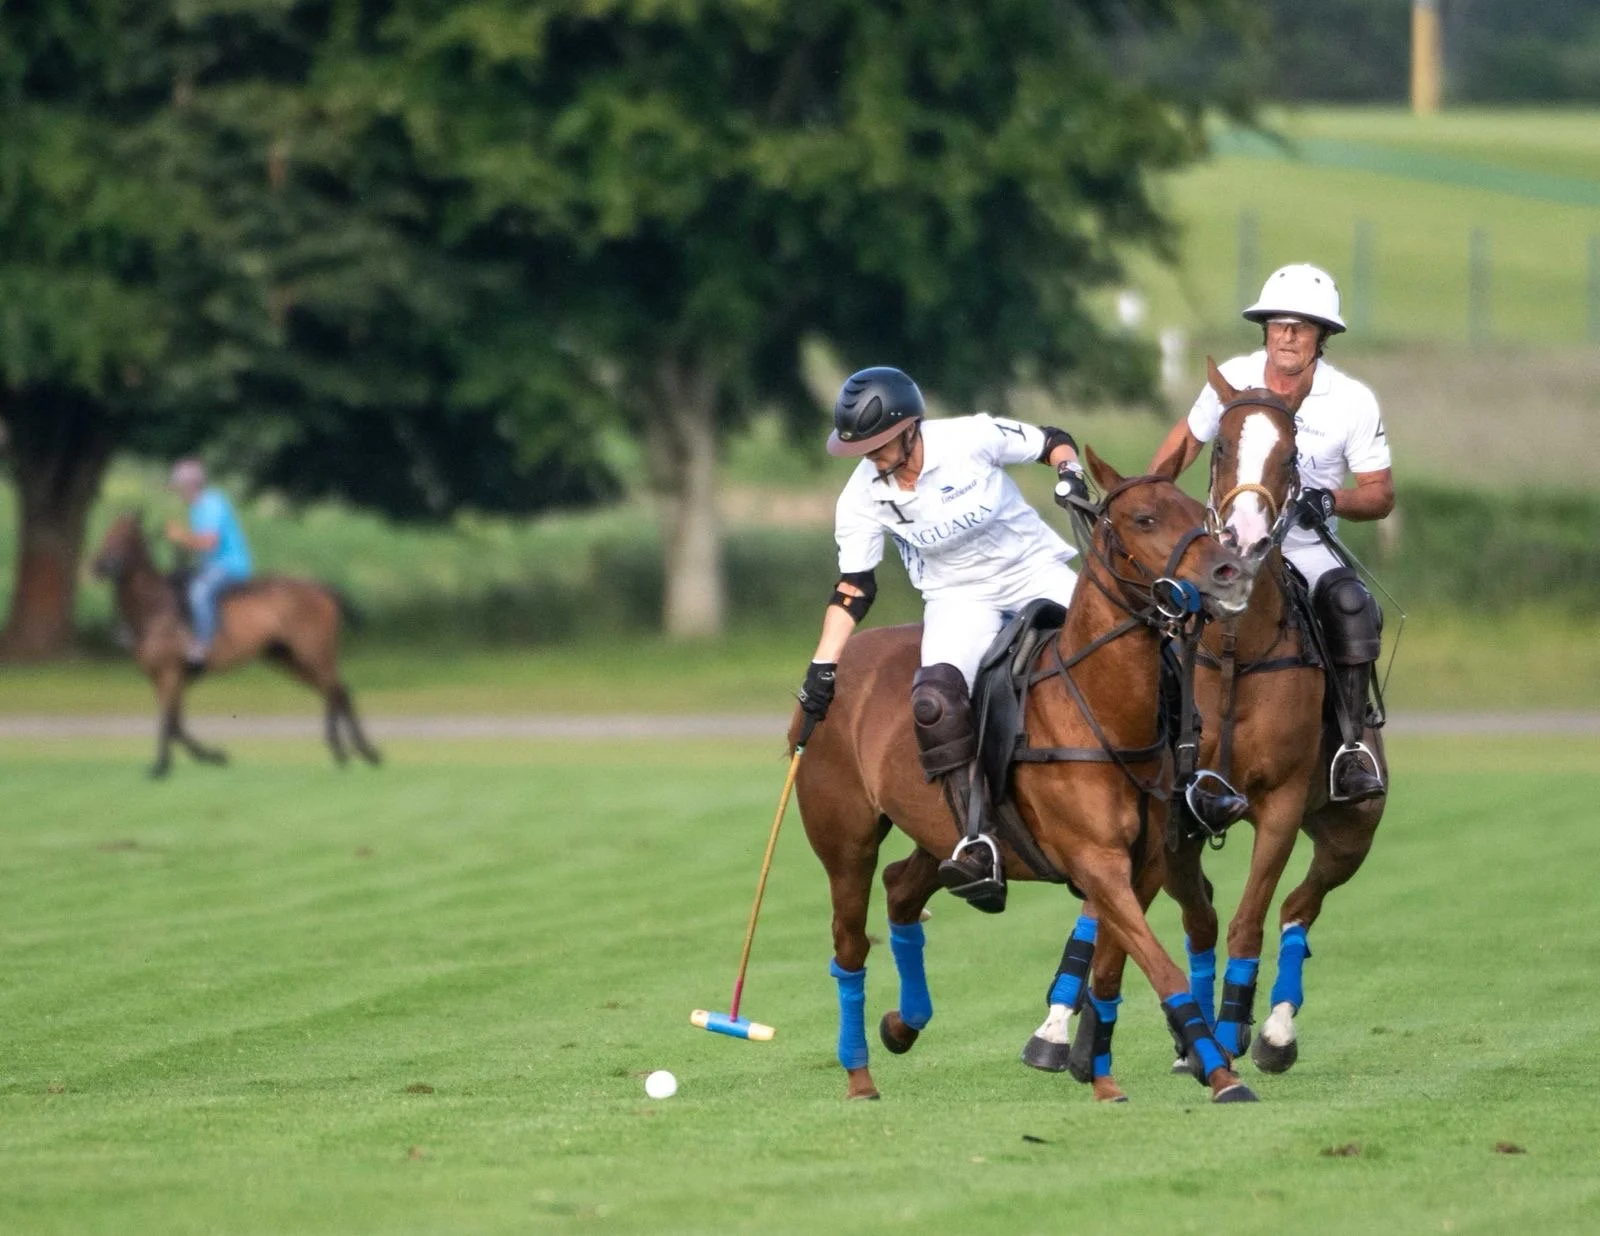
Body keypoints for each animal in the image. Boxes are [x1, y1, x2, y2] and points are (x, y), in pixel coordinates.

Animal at [91, 512, 382, 777]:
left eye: (126, 535)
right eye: (108, 531)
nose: (98, 566)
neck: (153, 607)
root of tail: (323, 589)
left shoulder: (170, 672)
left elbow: (169, 721)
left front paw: (164, 766)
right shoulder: (162, 676)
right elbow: (175, 722)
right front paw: (209, 757)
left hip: (313, 653)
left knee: (337, 690)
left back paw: (355, 752)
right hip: (289, 659)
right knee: (336, 691)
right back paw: (354, 754)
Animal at [791, 445, 1257, 1104]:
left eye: (1199, 511)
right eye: (1142, 519)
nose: (1231, 574)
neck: (1100, 708)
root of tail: (844, 656)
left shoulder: (1143, 865)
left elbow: (1112, 969)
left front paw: (1099, 1074)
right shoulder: (1096, 861)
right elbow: (1159, 966)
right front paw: (1222, 1075)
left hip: (939, 834)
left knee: (903, 887)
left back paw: (904, 1023)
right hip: (845, 840)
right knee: (850, 943)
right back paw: (859, 1076)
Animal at [1022, 362, 1388, 1093]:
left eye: (1292, 454)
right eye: (1219, 446)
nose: (1241, 544)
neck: (1233, 649)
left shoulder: (1280, 802)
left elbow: (1250, 921)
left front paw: (1233, 1027)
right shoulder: (1171, 813)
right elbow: (1168, 916)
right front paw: (1077, 1032)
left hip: (1352, 826)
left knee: (1299, 907)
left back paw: (1270, 1030)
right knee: (1195, 916)